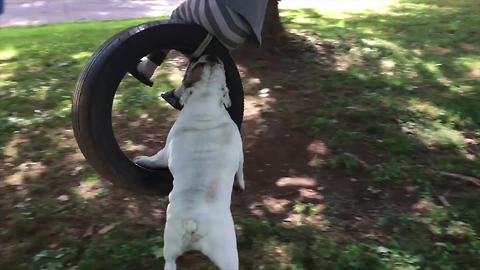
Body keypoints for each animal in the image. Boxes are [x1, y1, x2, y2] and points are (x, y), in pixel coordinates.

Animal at [135, 55, 246, 270]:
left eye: (195, 65)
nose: (211, 56)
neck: (206, 101)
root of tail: (193, 223)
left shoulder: (165, 151)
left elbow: (155, 159)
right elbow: (240, 170)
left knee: (170, 261)